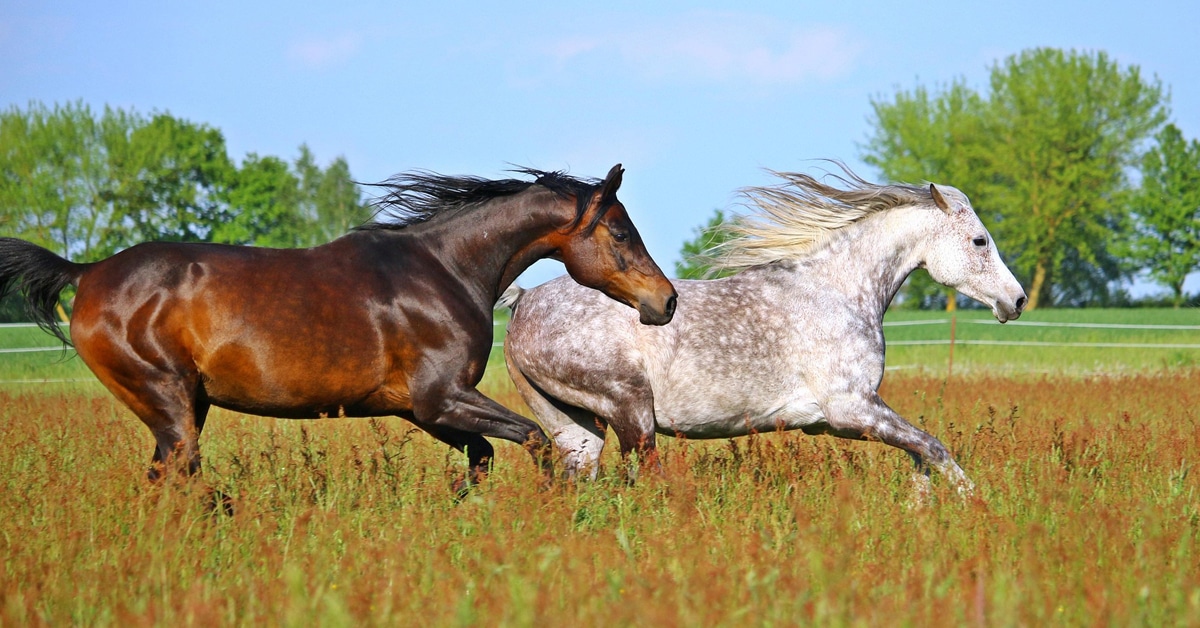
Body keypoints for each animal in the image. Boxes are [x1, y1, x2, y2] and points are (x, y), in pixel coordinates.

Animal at [0, 164, 677, 491]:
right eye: (621, 232)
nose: (665, 301)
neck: (445, 269)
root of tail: (87, 273)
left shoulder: (418, 408)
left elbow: (482, 457)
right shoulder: (442, 398)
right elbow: (535, 441)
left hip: (187, 406)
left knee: (164, 479)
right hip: (167, 400)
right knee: (183, 477)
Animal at [502, 167, 1026, 493]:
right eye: (979, 241)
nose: (1017, 300)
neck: (837, 290)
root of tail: (523, 300)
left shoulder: (837, 420)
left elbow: (921, 455)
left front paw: (921, 508)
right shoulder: (851, 409)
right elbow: (934, 448)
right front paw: (975, 508)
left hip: (577, 427)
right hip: (631, 410)